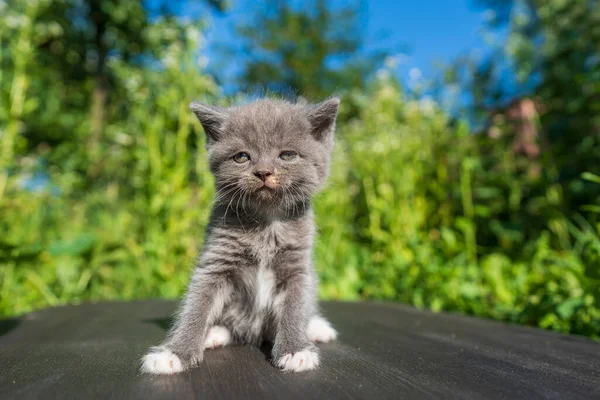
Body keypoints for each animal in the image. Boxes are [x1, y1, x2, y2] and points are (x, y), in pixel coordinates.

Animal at [139, 95, 338, 374]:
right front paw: (175, 353)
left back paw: (316, 327)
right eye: (242, 157)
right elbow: (197, 305)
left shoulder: (298, 266)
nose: (263, 171)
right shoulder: (216, 260)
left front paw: (295, 349)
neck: (266, 223)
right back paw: (214, 333)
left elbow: (295, 306)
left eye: (287, 155)